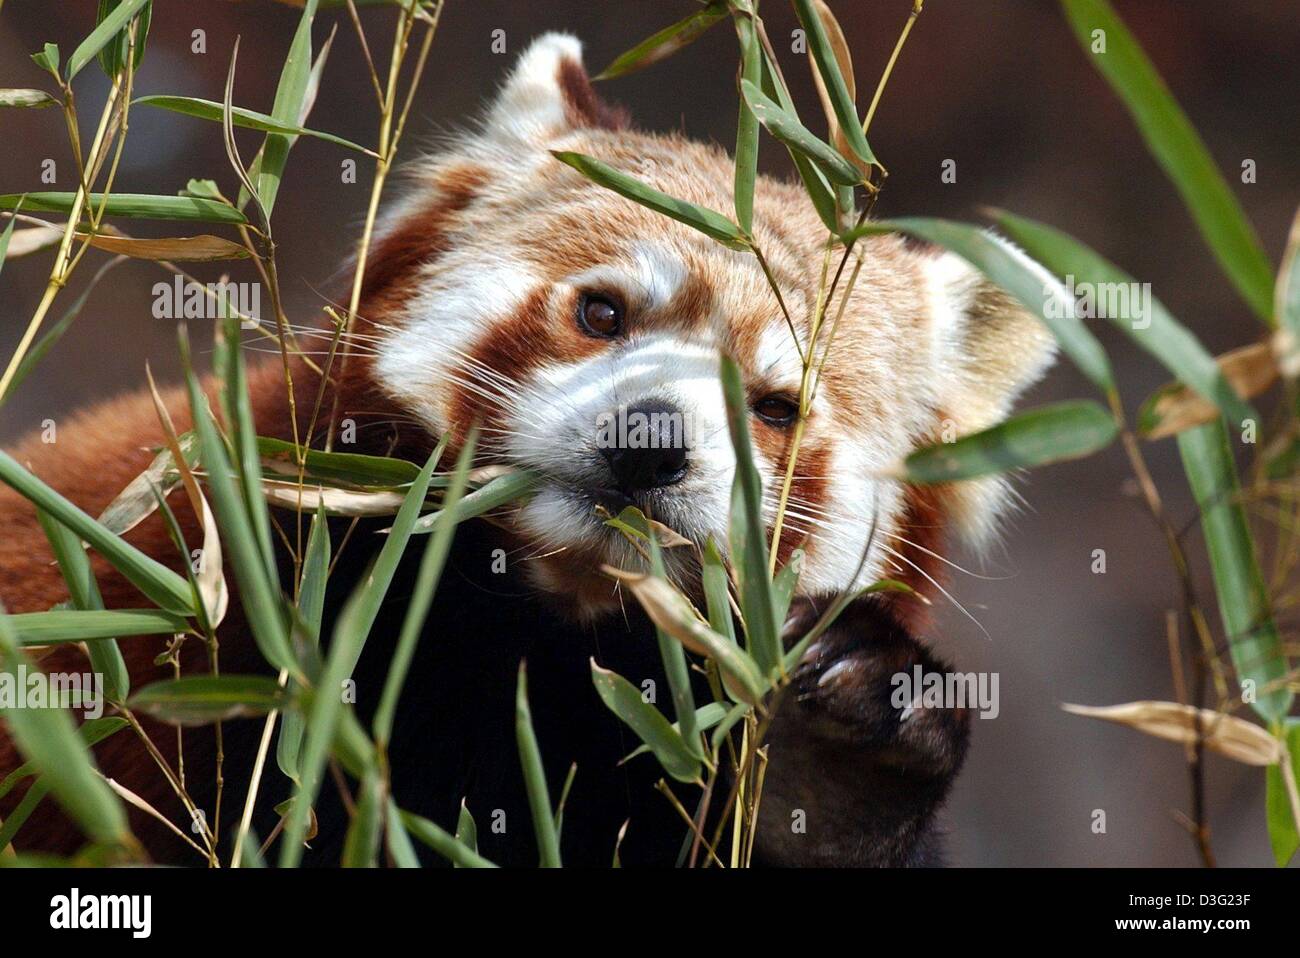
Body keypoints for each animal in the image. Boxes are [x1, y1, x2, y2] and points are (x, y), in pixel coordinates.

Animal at [0, 33, 1050, 863]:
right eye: (603, 313)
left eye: (776, 407)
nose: (650, 440)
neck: (530, 633)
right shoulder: (184, 596)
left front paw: (841, 762)